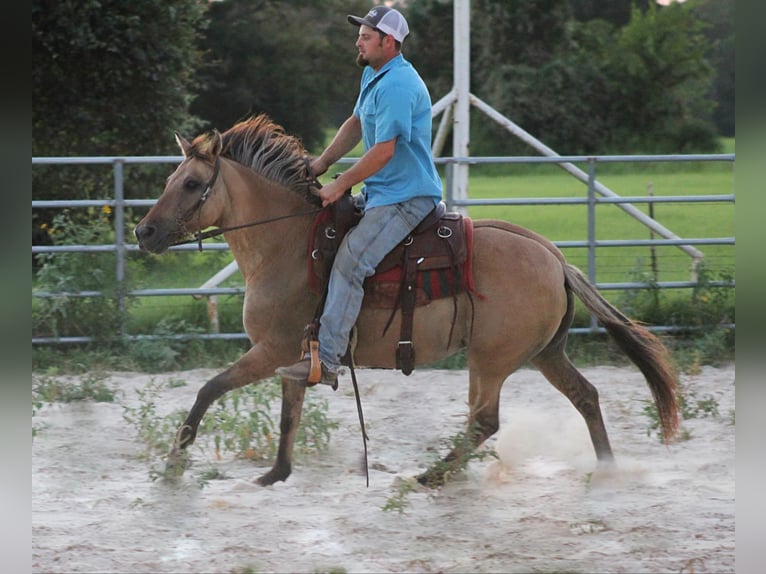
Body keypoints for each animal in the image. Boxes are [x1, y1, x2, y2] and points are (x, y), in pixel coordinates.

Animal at [134, 114, 679, 488]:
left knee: (484, 421)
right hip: (546, 352)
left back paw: (432, 476)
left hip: (491, 359)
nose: (144, 232)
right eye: (168, 180)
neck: (286, 243)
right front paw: (275, 475)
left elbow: (209, 389)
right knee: (585, 396)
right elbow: (289, 416)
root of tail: (555, 258)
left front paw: (174, 464)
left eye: (191, 183)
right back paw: (608, 470)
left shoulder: (270, 351)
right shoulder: (293, 357)